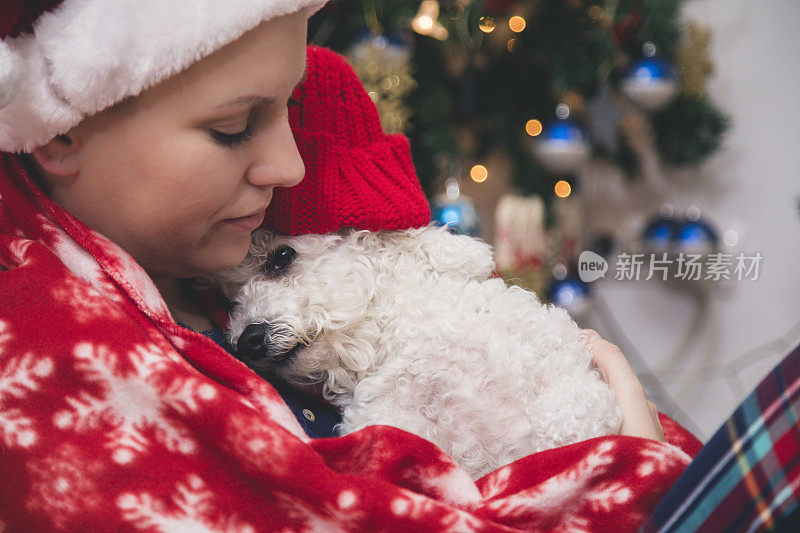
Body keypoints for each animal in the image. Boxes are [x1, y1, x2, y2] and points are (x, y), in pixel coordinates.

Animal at [214, 224, 624, 478]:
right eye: (230, 301)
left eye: (281, 256)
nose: (247, 340)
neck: (400, 339)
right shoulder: (387, 425)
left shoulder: (574, 381)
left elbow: (568, 422)